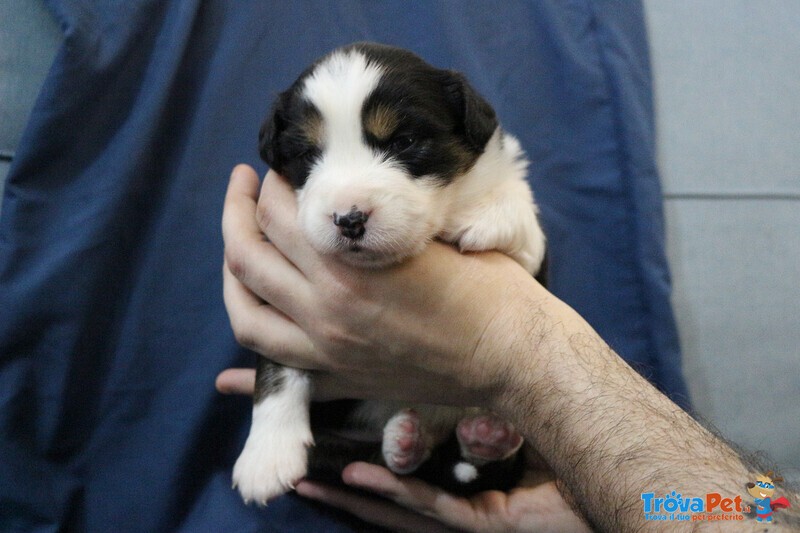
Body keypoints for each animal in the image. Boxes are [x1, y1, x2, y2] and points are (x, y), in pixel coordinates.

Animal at [228, 42, 548, 502]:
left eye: (404, 141)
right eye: (308, 154)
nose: (349, 219)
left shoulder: (531, 254)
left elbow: (514, 209)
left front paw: (485, 215)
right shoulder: (277, 291)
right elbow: (277, 366)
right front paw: (266, 456)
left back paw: (484, 439)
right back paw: (410, 442)